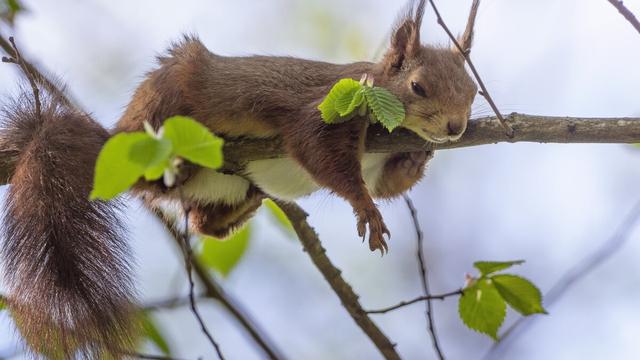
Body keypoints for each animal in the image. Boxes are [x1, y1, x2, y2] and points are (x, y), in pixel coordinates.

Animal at [0, 0, 480, 358]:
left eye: (474, 91)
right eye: (418, 87)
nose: (455, 127)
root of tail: (115, 138)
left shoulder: (380, 163)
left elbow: (391, 182)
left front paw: (417, 158)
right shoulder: (331, 105)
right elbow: (318, 152)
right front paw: (365, 207)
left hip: (223, 193)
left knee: (203, 223)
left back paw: (247, 204)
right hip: (167, 99)